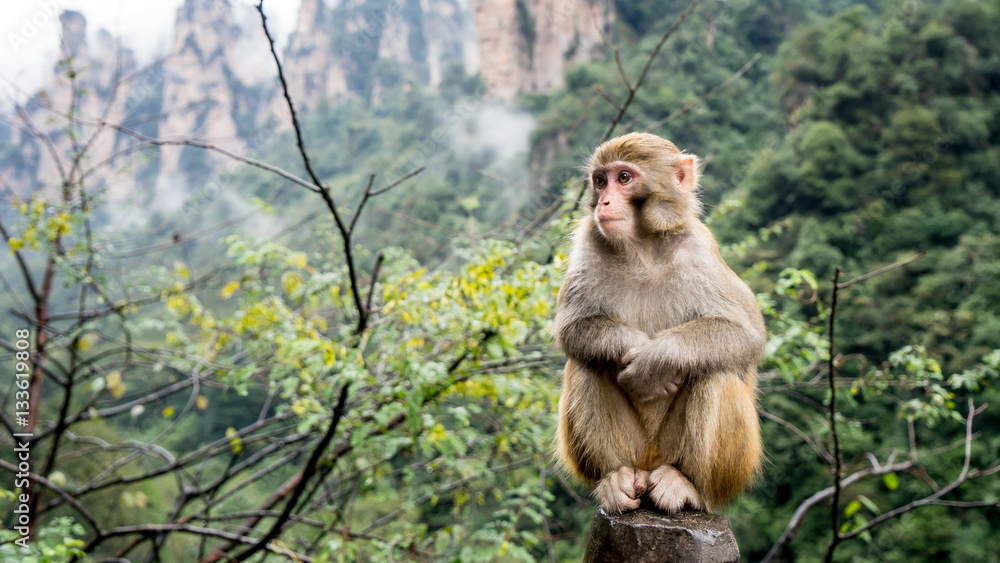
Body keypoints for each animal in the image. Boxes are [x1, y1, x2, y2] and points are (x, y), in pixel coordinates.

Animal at [553, 132, 765, 515]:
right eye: (600, 180)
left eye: (624, 178)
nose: (603, 202)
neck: (644, 247)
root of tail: (650, 462)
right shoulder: (588, 240)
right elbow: (572, 327)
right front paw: (632, 349)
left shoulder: (700, 249)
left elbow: (745, 333)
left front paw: (656, 360)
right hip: (635, 450)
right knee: (586, 362)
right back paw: (615, 480)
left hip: (720, 465)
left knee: (715, 369)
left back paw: (688, 485)